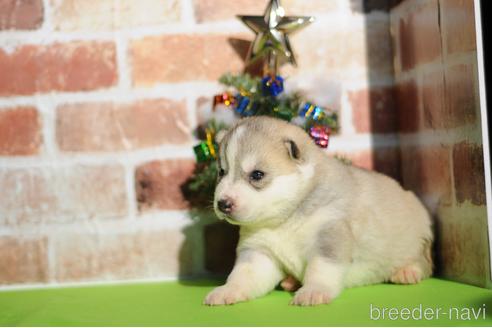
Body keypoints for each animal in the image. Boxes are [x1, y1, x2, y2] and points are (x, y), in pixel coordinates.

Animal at [206, 116, 432, 306]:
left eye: (257, 175)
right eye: (221, 172)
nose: (223, 203)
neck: (285, 219)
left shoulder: (329, 237)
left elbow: (320, 269)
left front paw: (313, 291)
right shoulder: (258, 251)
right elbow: (243, 274)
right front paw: (227, 290)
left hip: (417, 237)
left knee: (425, 263)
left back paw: (408, 271)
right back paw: (291, 281)